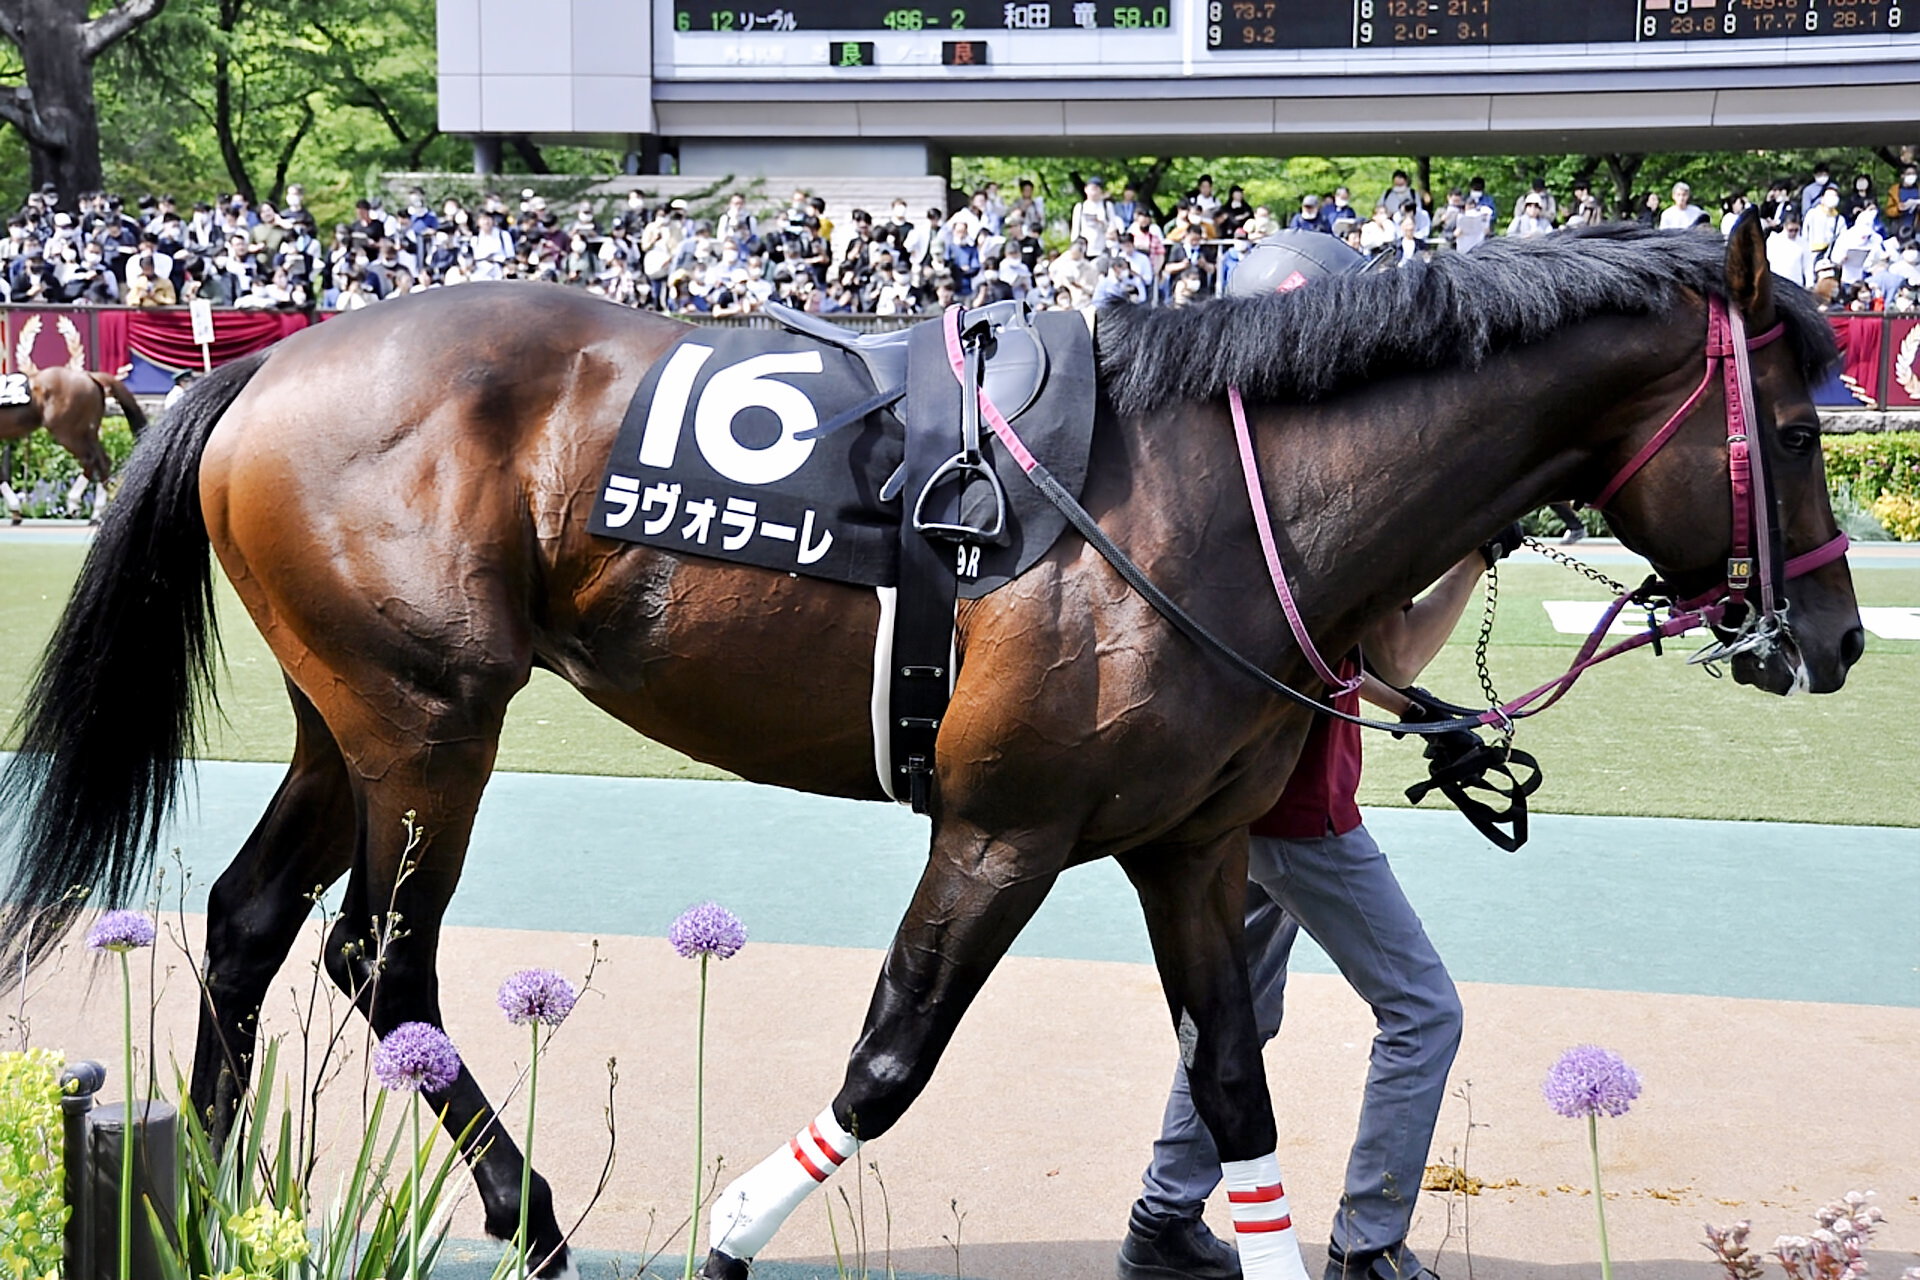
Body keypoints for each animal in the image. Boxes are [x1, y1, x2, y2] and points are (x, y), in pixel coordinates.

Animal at [0, 362, 145, 521]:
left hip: (67, 432)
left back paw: (74, 503)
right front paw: (15, 509)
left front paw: (15, 508)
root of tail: (89, 376)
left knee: (89, 459)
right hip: (88, 432)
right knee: (102, 461)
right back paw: (96, 511)